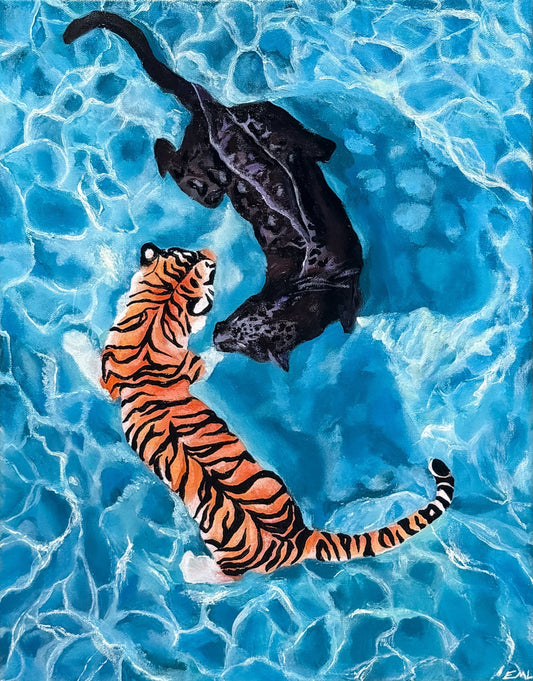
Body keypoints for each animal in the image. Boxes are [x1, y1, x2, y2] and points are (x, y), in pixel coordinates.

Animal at [101, 242, 455, 582]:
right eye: (188, 255)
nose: (210, 254)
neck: (155, 314)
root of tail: (301, 537)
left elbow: (203, 361)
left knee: (231, 576)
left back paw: (190, 567)